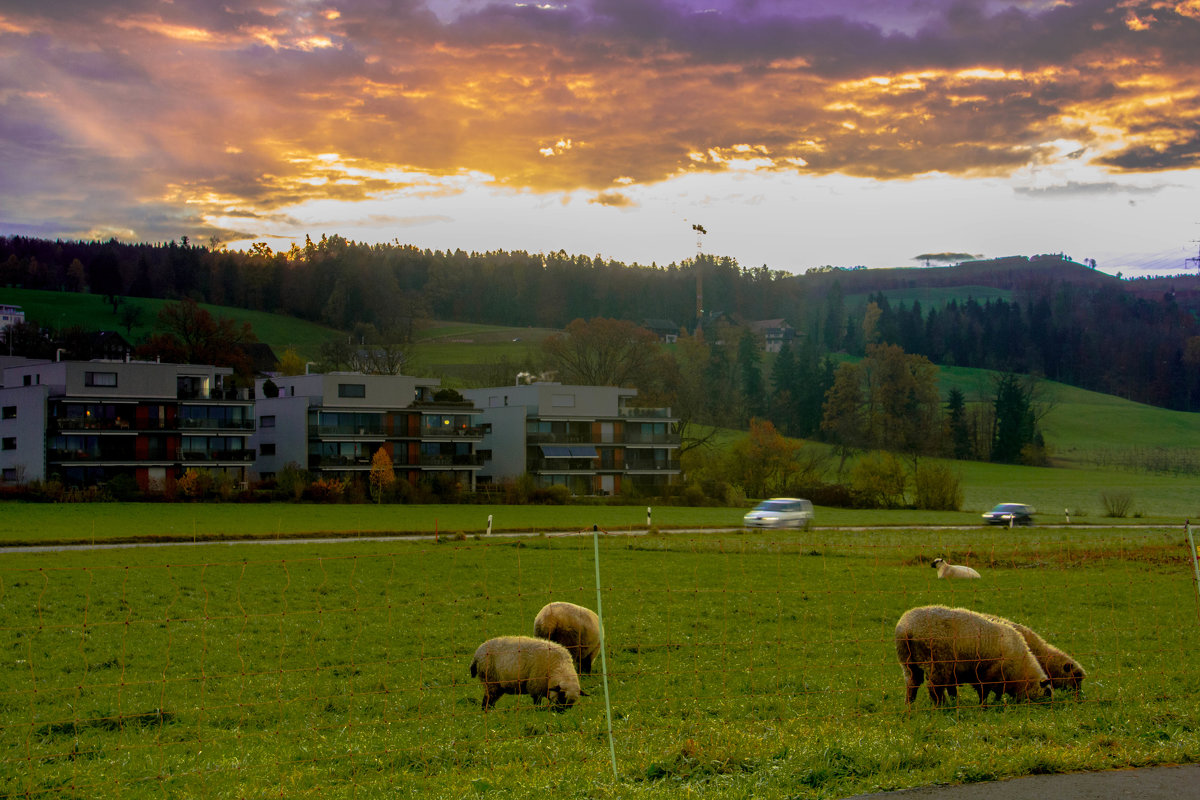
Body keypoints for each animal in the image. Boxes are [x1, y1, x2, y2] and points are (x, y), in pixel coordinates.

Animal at [892, 604, 1051, 710]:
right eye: (1048, 692)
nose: (1050, 707)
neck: (1022, 672)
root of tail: (906, 629)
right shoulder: (988, 675)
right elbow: (984, 693)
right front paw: (984, 706)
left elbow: (954, 690)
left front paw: (958, 701)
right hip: (938, 663)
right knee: (934, 687)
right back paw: (941, 706)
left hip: (908, 662)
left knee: (912, 683)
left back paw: (910, 704)